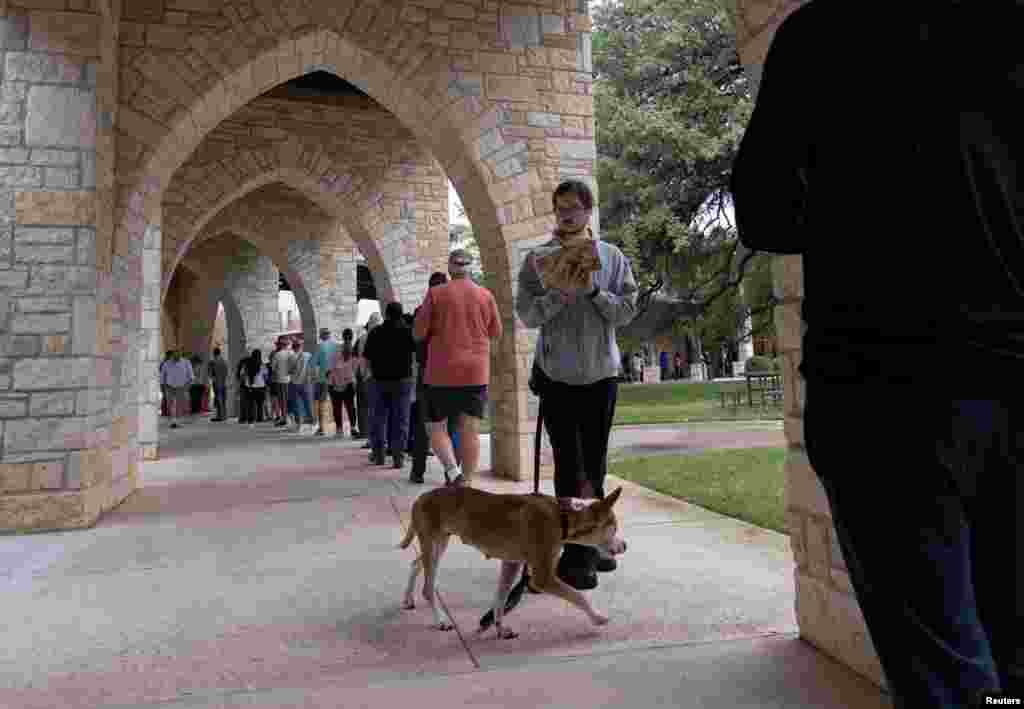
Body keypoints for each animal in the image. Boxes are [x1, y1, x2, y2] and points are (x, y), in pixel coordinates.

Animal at [397, 485, 622, 639]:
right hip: (434, 545)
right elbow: (578, 595)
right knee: (427, 587)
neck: (562, 517)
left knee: (415, 564)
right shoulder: (542, 577)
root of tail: (422, 496)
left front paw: (499, 627)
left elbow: (501, 598)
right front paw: (597, 617)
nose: (625, 545)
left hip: (438, 544)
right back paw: (441, 621)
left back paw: (408, 599)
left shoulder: (511, 563)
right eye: (614, 528)